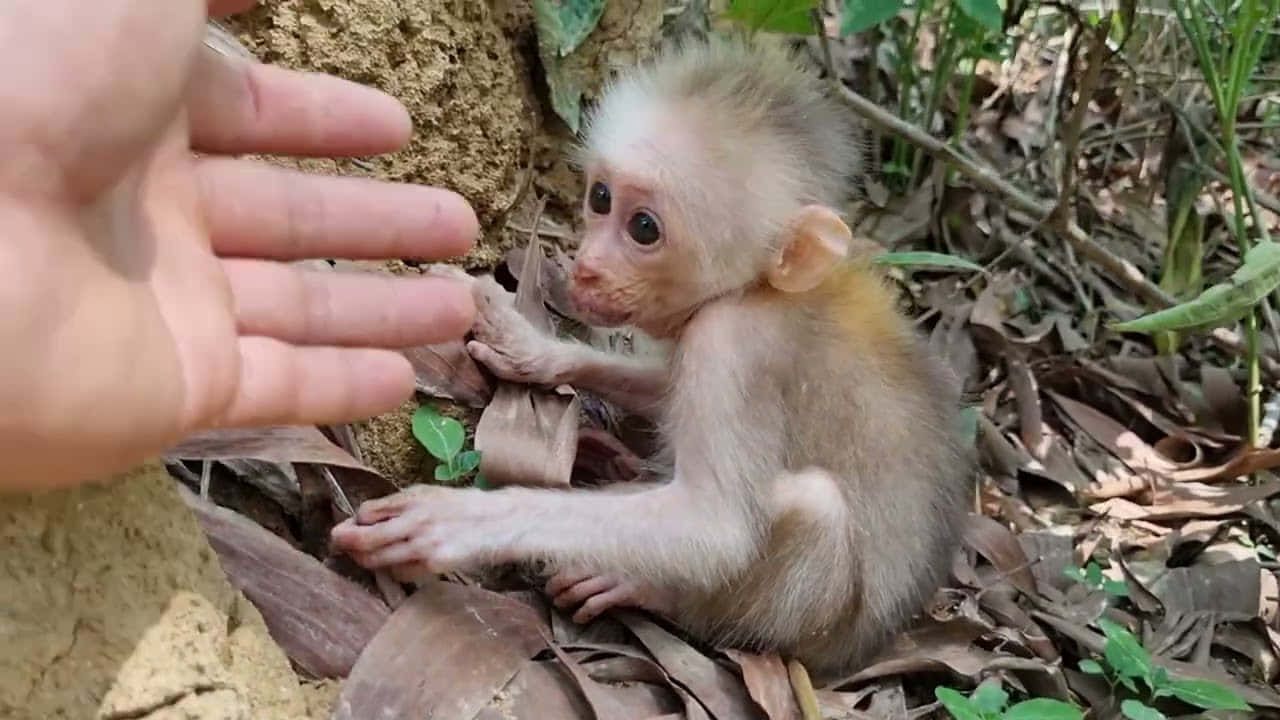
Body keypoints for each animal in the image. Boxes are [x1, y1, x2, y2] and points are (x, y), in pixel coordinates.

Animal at [330, 37, 974, 680]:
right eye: (600, 197)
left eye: (644, 228)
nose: (587, 267)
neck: (754, 290)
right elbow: (665, 387)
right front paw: (528, 345)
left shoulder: (730, 344)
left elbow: (715, 527)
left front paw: (460, 521)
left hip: (818, 633)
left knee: (812, 507)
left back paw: (647, 586)